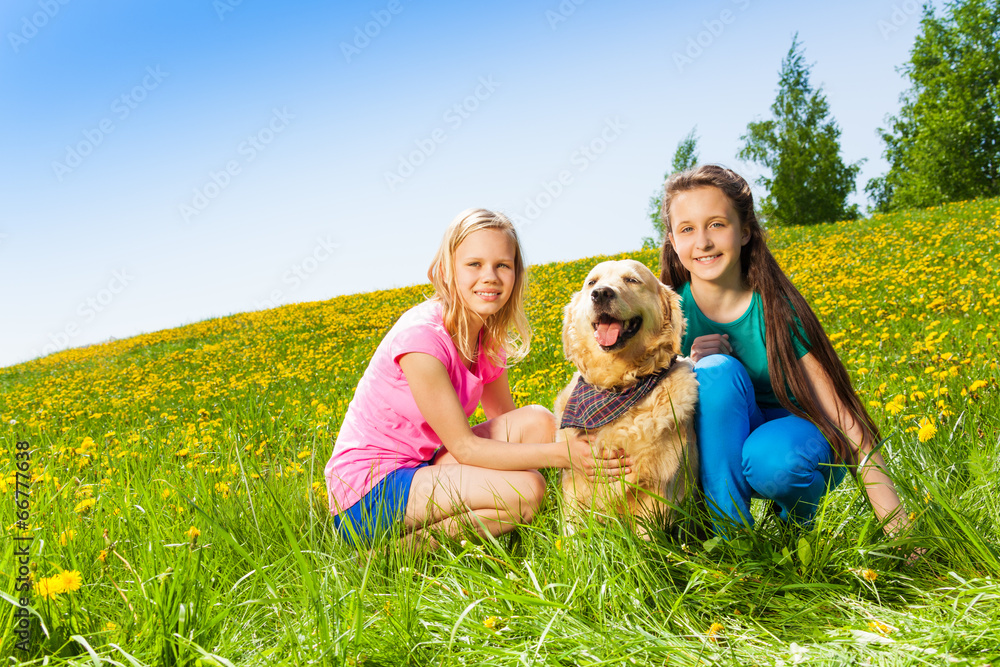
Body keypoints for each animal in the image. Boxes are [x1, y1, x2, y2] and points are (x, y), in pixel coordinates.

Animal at [552, 258, 700, 536]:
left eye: (632, 280)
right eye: (592, 282)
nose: (601, 293)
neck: (616, 387)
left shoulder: (657, 491)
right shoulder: (574, 489)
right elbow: (571, 537)